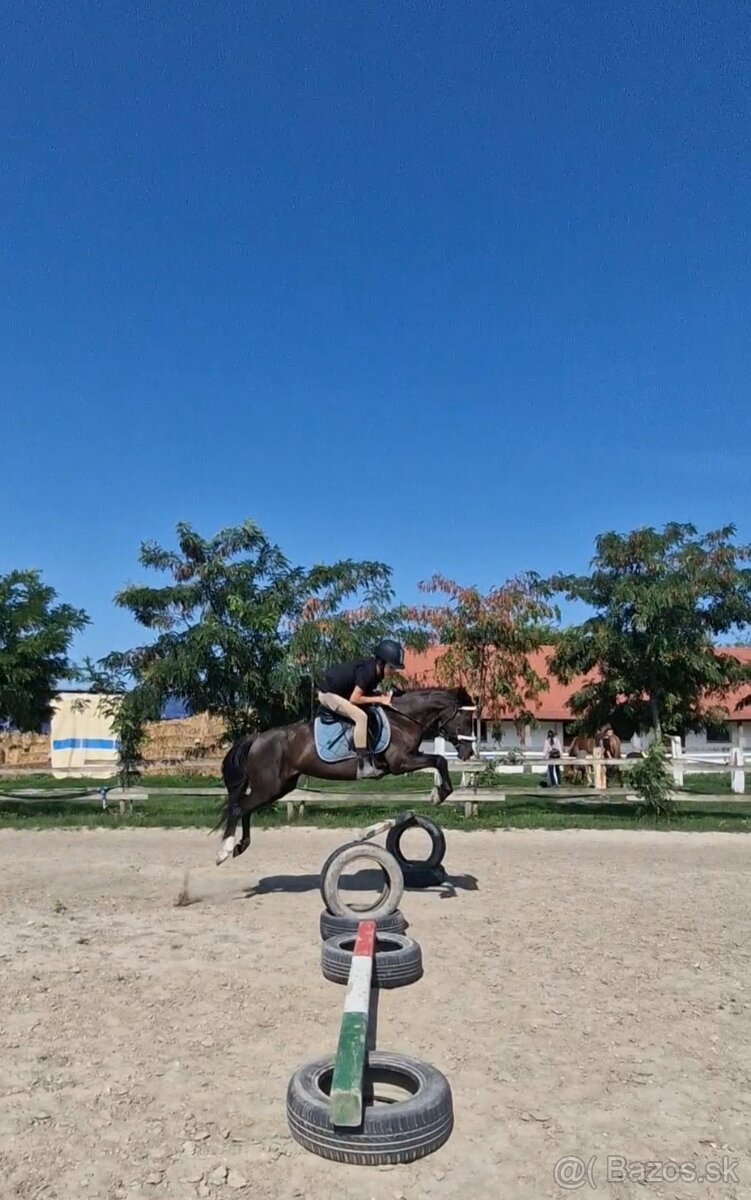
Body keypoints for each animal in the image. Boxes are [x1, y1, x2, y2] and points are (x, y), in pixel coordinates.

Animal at [214, 686, 478, 864]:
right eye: (465, 718)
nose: (469, 752)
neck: (402, 719)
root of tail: (257, 738)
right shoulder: (400, 762)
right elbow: (439, 760)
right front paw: (439, 794)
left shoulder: (411, 757)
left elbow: (437, 761)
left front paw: (437, 793)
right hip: (269, 787)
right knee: (238, 808)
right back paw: (224, 850)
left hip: (279, 787)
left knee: (245, 808)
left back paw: (240, 846)